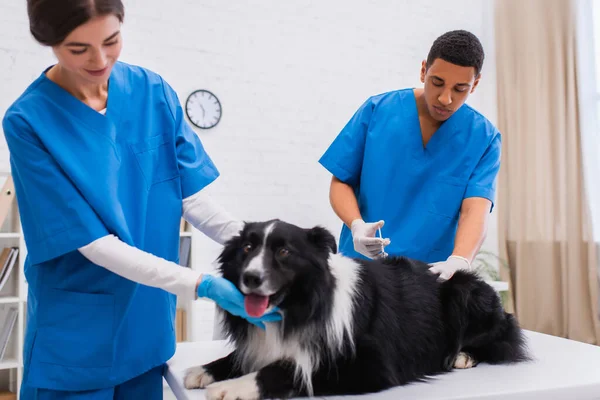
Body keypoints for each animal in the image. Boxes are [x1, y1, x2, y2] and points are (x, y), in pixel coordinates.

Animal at [184, 220, 528, 400]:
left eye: (283, 252)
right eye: (247, 248)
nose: (250, 278)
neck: (302, 304)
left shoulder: (370, 364)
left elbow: (288, 369)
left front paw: (232, 387)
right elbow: (241, 356)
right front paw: (204, 370)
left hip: (467, 292)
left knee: (501, 341)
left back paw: (463, 356)